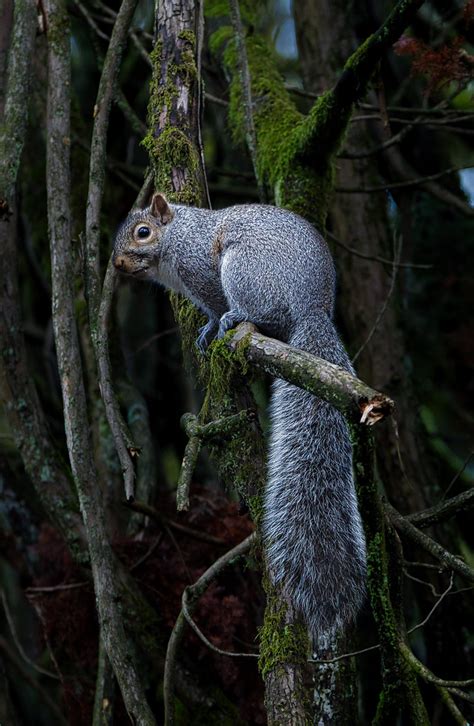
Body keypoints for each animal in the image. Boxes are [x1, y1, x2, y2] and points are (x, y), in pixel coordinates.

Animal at [114, 193, 366, 636]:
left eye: (143, 232)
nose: (117, 264)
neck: (177, 237)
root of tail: (311, 310)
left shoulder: (200, 270)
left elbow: (214, 304)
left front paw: (216, 322)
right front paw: (204, 329)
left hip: (246, 269)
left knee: (264, 312)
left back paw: (239, 318)